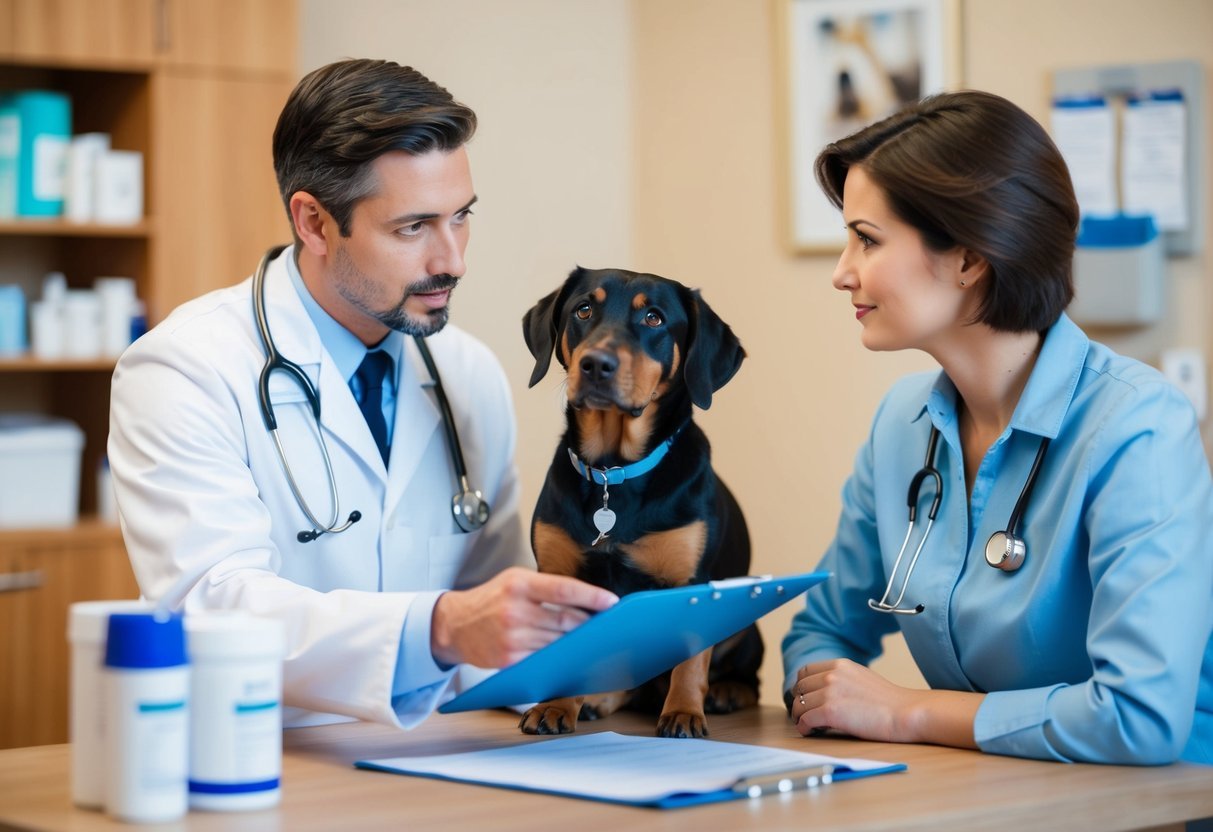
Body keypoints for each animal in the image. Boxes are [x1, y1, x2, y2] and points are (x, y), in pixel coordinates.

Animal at [519, 269, 761, 742]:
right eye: (583, 309)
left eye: (654, 318)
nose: (596, 364)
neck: (614, 472)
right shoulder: (559, 576)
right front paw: (557, 705)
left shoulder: (691, 580)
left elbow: (690, 661)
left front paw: (684, 712)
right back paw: (599, 699)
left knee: (747, 679)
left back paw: (725, 693)